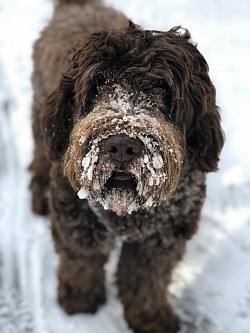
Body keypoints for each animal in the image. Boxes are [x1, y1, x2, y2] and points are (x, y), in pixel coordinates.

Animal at [29, 0, 225, 332]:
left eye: (162, 89)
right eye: (97, 85)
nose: (121, 145)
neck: (127, 212)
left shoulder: (162, 239)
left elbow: (146, 281)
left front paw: (151, 318)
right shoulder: (77, 220)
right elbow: (81, 262)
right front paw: (80, 302)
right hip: (44, 128)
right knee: (39, 164)